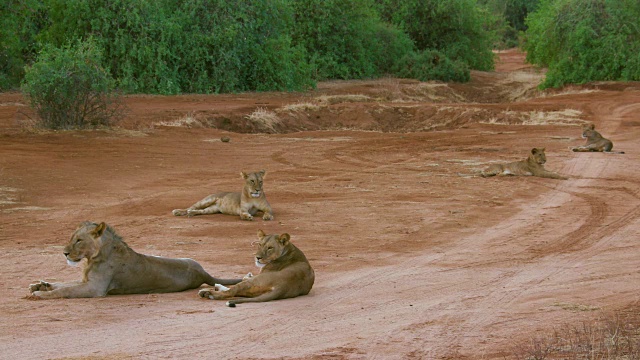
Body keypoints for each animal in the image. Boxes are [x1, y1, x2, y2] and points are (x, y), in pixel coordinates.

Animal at [27, 221, 244, 300]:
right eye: (72, 237)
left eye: (79, 240)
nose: (64, 253)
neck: (91, 259)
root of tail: (204, 273)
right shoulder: (85, 282)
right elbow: (62, 284)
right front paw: (40, 285)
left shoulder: (95, 289)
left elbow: (65, 291)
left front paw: (39, 294)